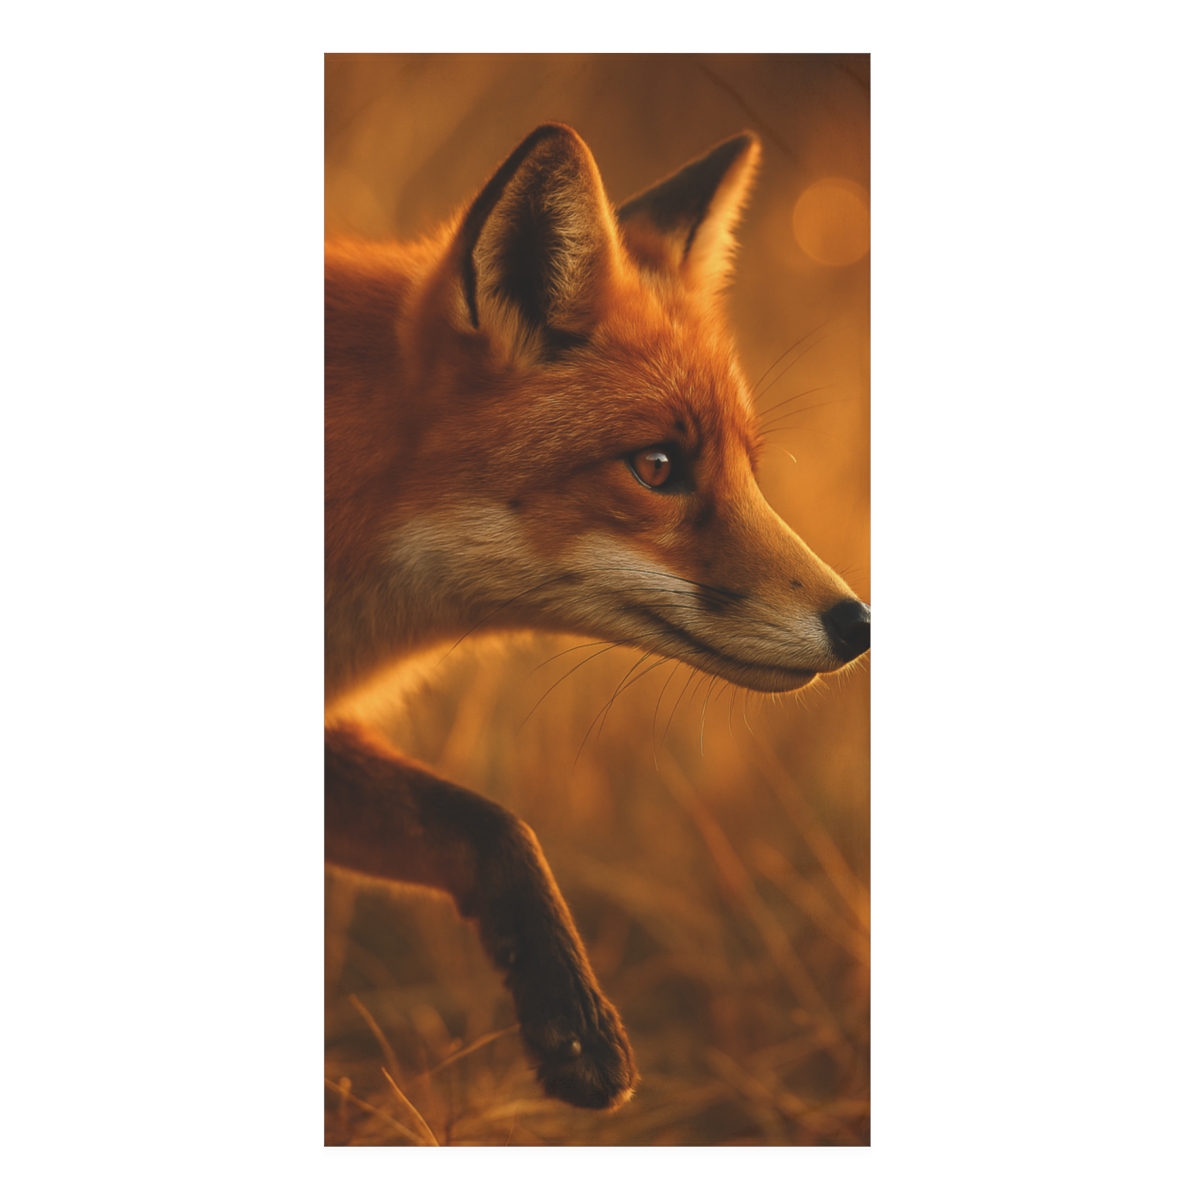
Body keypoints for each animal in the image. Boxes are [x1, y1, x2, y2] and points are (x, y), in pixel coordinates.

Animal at [325, 123, 870, 1112]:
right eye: (656, 467)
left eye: (748, 468)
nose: (859, 624)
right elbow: (494, 825)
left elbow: (487, 824)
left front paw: (570, 1021)